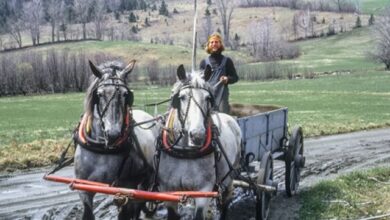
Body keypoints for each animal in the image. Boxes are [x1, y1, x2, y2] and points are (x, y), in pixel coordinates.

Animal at [73, 59, 158, 219]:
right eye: (99, 94)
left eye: (126, 94)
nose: (113, 134)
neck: (103, 149)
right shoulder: (84, 189)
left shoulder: (125, 187)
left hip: (146, 177)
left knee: (140, 201)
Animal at [156, 64, 242, 219]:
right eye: (182, 97)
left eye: (207, 98)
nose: (197, 136)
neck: (185, 152)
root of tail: (231, 118)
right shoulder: (169, 191)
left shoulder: (203, 191)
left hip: (229, 175)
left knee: (226, 199)